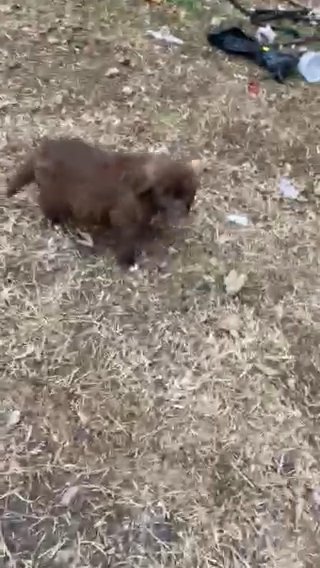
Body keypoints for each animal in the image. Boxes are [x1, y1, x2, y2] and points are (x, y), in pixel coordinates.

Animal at [6, 137, 199, 266]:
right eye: (165, 193)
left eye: (184, 195)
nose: (180, 212)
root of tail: (42, 149)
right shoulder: (124, 218)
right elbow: (127, 240)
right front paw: (128, 262)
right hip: (54, 194)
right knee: (48, 207)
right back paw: (58, 224)